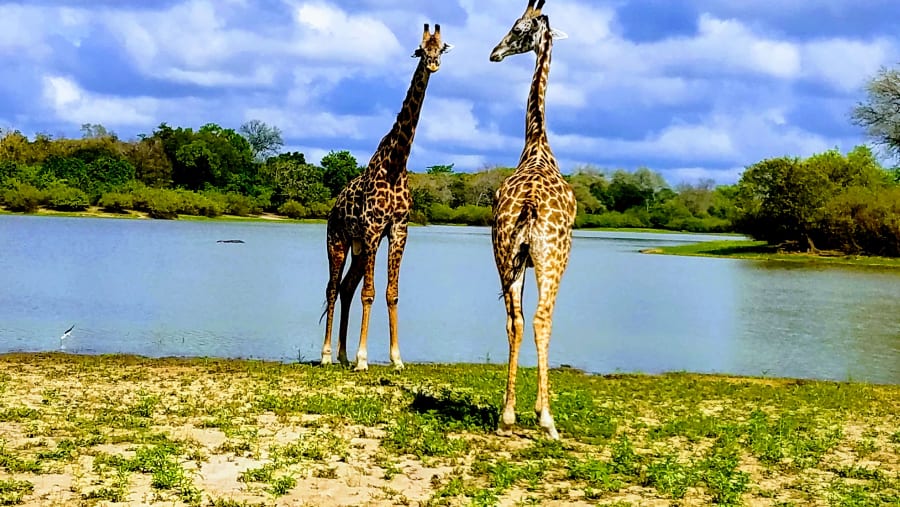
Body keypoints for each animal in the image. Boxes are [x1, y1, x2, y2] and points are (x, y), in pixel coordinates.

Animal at [320, 24, 452, 371]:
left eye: (442, 47)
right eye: (420, 49)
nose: (433, 64)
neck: (395, 165)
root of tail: (332, 208)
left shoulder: (397, 229)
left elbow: (391, 293)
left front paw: (396, 358)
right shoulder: (371, 227)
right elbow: (370, 292)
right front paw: (363, 359)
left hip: (360, 248)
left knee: (346, 287)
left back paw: (342, 354)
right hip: (337, 240)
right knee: (332, 288)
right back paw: (326, 355)